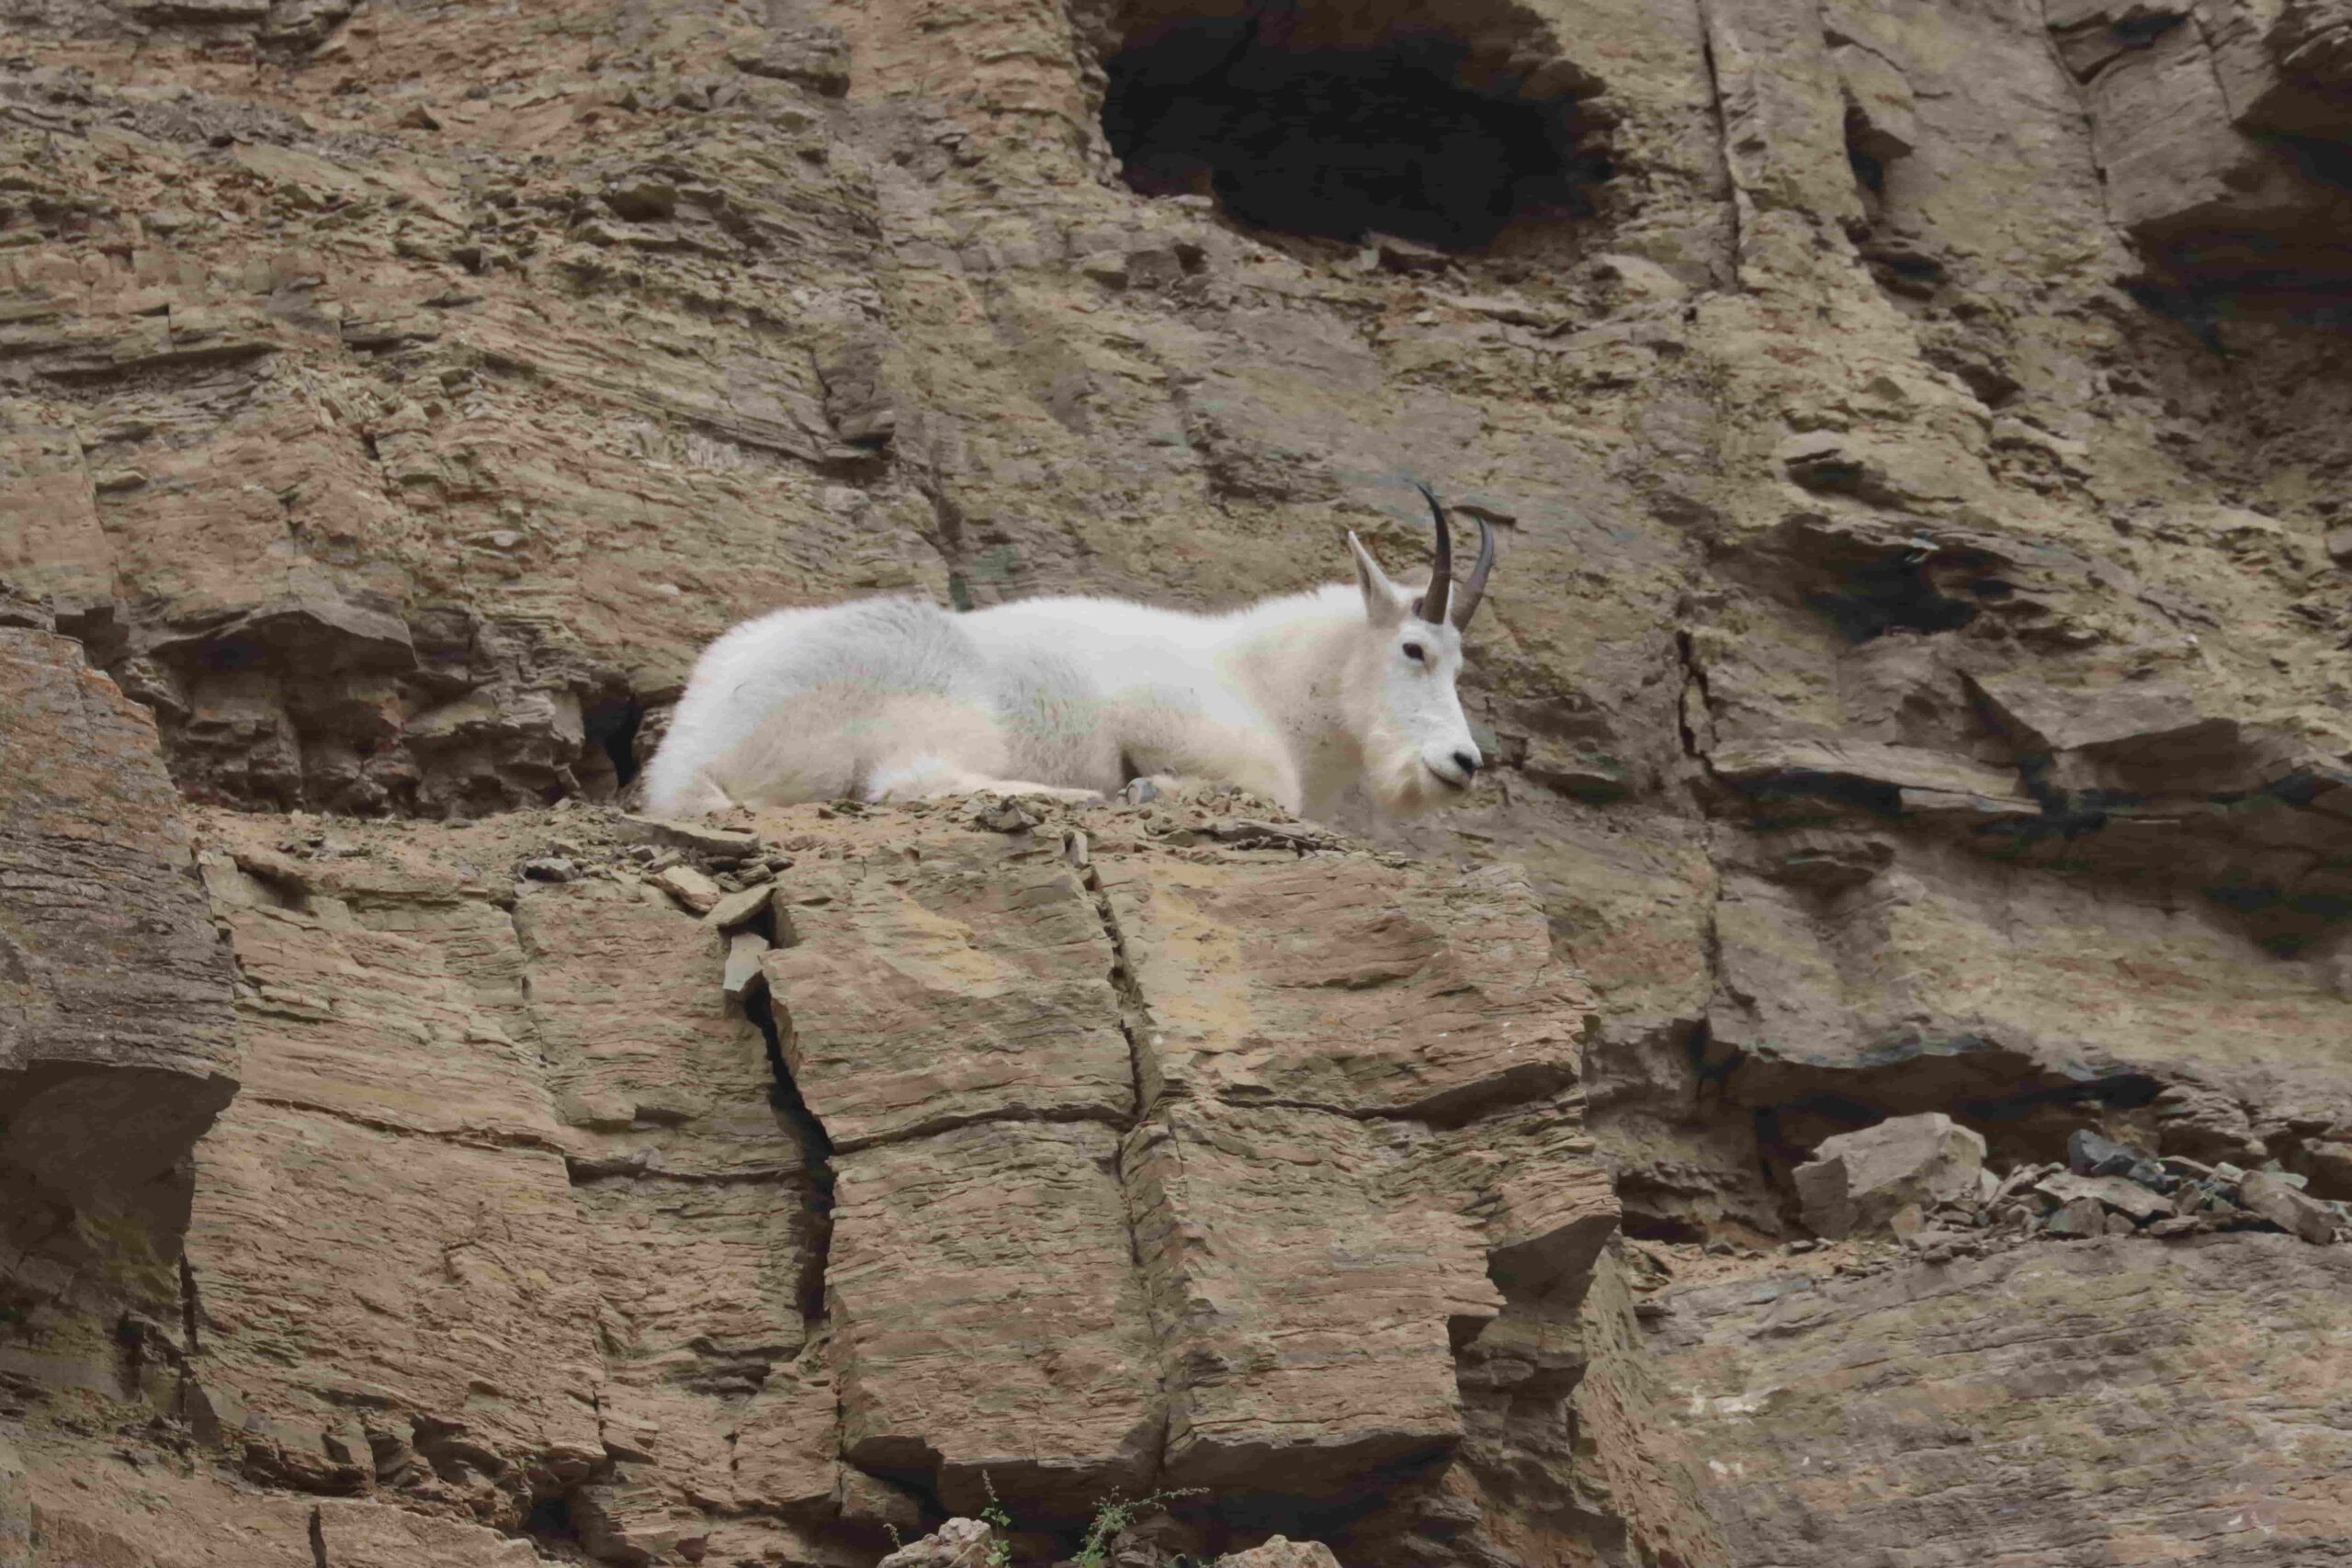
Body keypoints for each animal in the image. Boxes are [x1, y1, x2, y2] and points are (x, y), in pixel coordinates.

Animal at [639, 485, 1497, 823]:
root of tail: (686, 761)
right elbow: (1263, 789)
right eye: (1414, 648)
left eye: (1460, 666)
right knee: (907, 781)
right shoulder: (1172, 720)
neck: (1264, 683)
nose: (1464, 763)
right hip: (942, 714)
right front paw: (1148, 787)